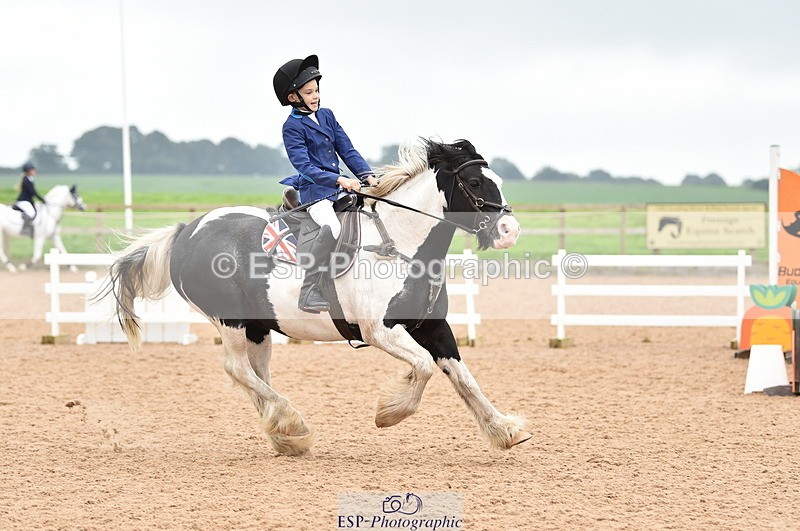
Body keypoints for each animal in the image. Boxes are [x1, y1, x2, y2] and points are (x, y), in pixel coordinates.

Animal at [99, 139, 530, 455]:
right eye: (474, 183)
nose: (509, 231)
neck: (400, 244)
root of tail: (187, 231)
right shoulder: (380, 330)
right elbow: (423, 367)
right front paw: (389, 413)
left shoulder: (433, 327)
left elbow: (464, 378)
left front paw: (504, 430)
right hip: (231, 321)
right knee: (237, 369)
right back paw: (292, 422)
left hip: (259, 327)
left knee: (256, 375)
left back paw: (285, 435)